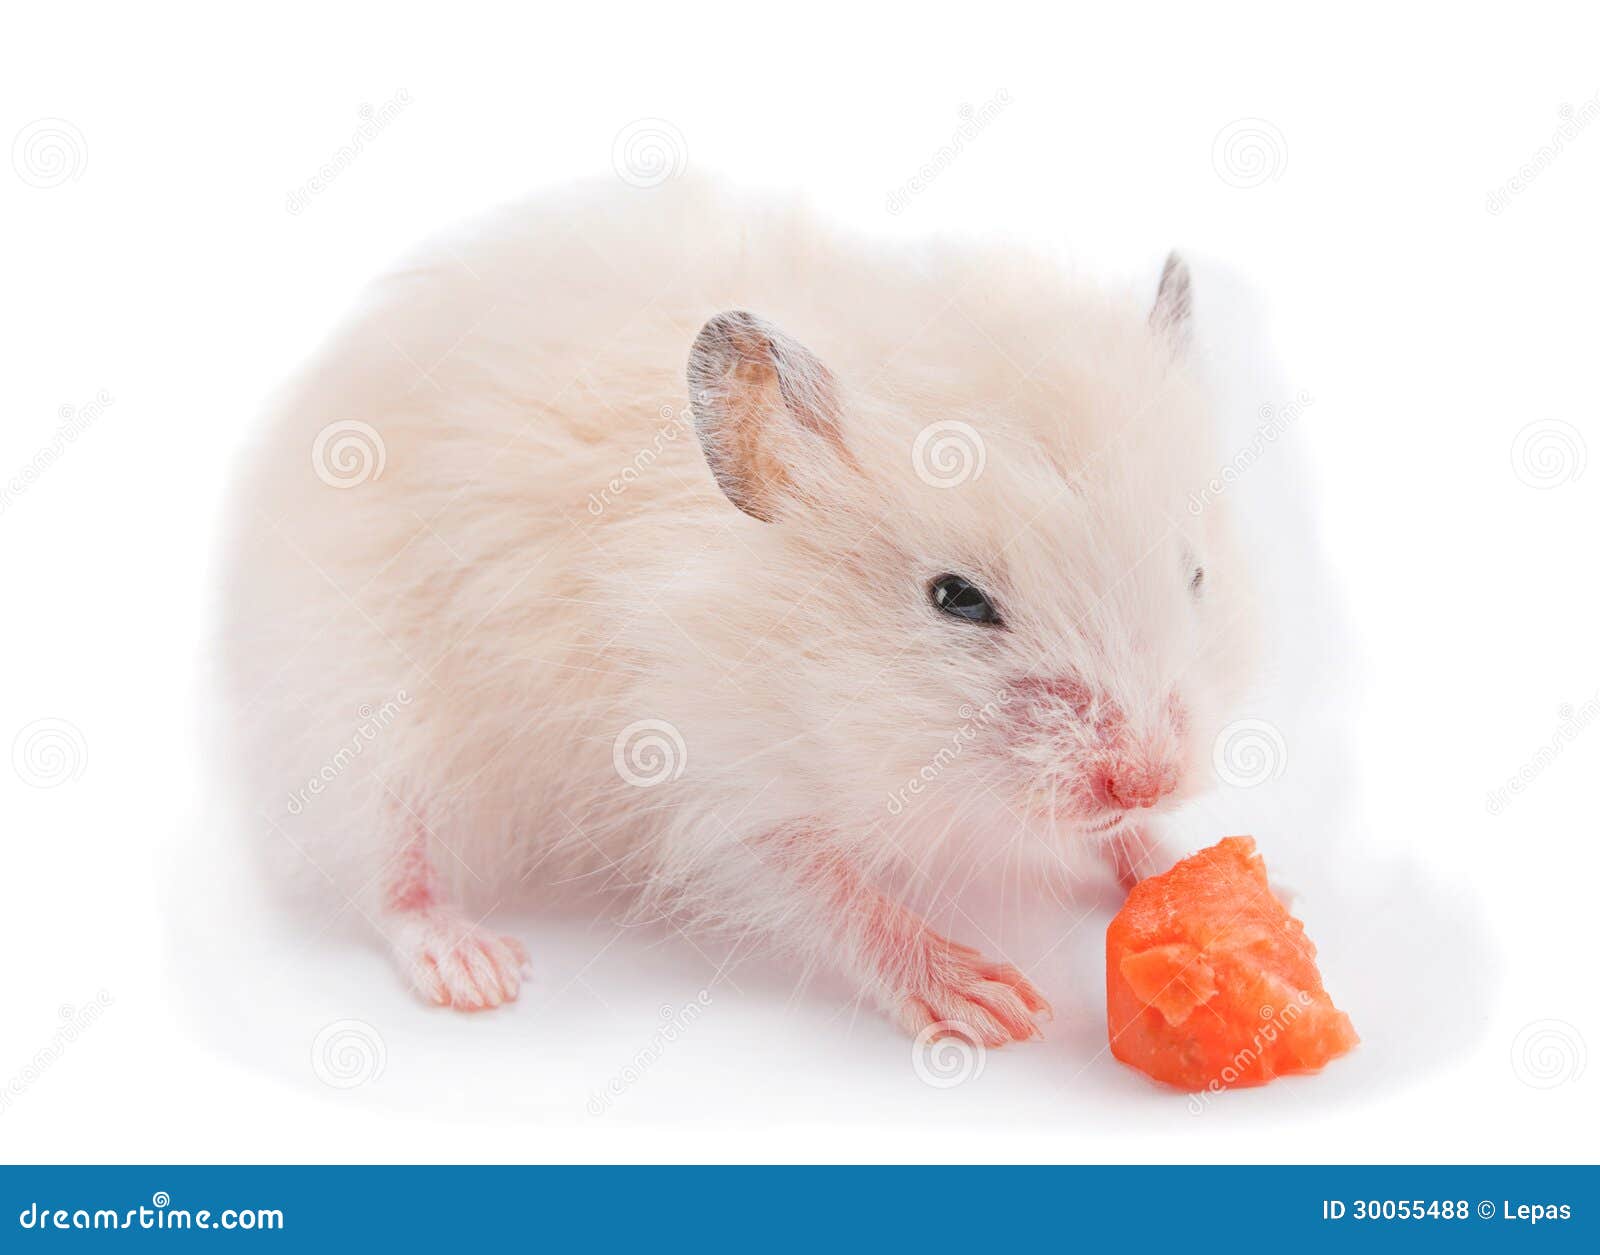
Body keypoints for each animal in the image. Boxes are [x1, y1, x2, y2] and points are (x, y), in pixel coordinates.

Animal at [219, 177, 1255, 1043]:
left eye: (1195, 575)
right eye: (957, 599)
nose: (1151, 776)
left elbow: (1122, 844)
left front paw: (1200, 873)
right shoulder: (711, 789)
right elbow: (828, 891)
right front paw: (989, 1003)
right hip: (363, 716)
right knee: (388, 868)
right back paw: (475, 971)